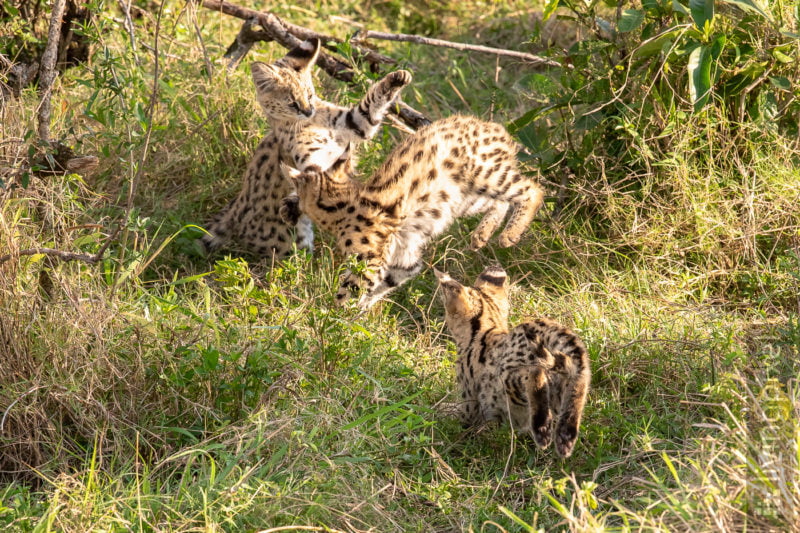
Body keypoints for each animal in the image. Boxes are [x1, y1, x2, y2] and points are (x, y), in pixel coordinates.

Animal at [200, 37, 412, 258]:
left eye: (310, 95)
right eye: (292, 103)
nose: (309, 111)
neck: (313, 122)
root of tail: (234, 212)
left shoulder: (353, 124)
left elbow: (369, 107)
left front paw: (397, 78)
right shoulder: (310, 158)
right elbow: (309, 176)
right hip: (288, 242)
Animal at [280, 114, 544, 310]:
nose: (289, 204)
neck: (341, 200)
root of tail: (493, 126)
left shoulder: (370, 260)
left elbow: (351, 291)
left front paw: (330, 318)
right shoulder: (403, 260)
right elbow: (381, 288)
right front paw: (357, 316)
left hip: (486, 174)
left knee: (533, 189)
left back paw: (510, 235)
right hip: (466, 198)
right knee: (501, 202)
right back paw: (482, 234)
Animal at [434, 264, 592, 456]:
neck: (487, 327)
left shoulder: (470, 402)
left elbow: (457, 416)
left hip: (508, 379)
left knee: (535, 374)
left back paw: (542, 428)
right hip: (573, 379)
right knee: (576, 391)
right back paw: (565, 437)